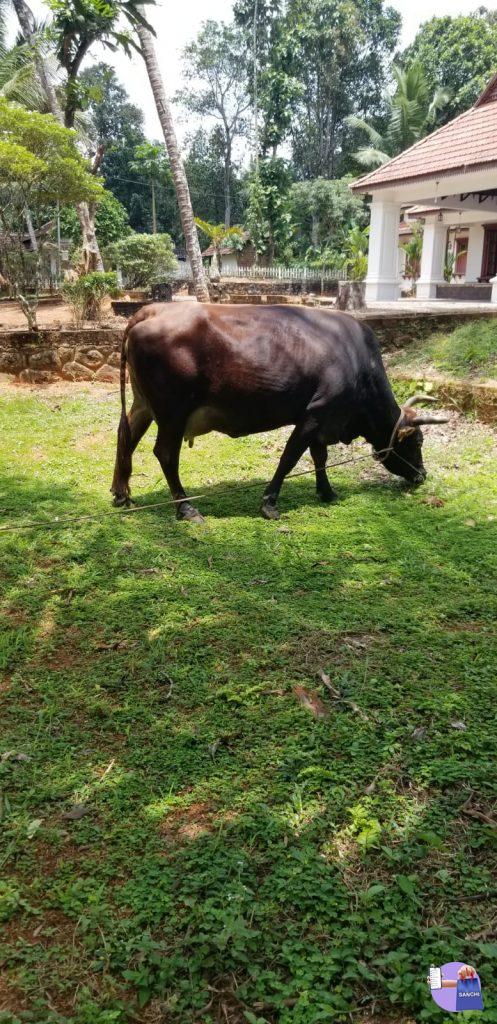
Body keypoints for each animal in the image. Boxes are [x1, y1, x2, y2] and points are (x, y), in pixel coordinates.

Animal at [111, 303, 448, 522]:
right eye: (417, 441)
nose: (421, 475)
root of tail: (150, 311)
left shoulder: (323, 422)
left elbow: (319, 457)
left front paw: (327, 492)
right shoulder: (315, 415)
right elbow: (290, 458)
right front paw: (269, 503)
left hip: (144, 406)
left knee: (125, 436)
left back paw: (120, 492)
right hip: (173, 414)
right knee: (165, 454)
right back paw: (185, 508)